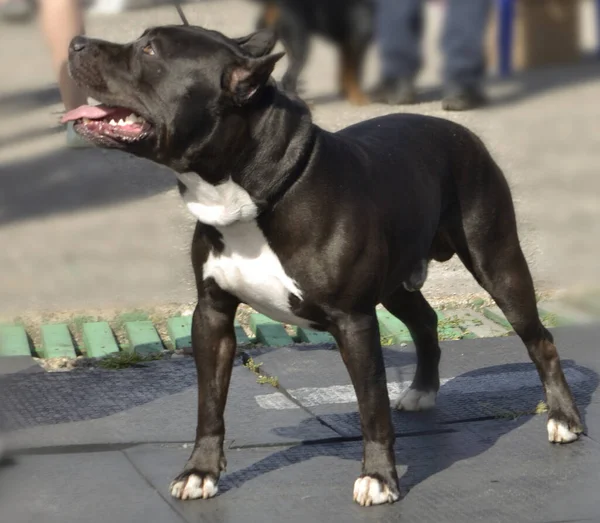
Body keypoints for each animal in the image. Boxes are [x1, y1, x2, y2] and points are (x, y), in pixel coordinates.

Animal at [61, 25, 580, 508]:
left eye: (150, 49)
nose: (76, 43)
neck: (253, 190)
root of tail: (461, 132)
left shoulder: (354, 322)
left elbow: (371, 406)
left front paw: (379, 478)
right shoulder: (211, 315)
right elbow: (209, 403)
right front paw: (200, 471)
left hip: (498, 262)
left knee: (539, 339)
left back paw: (563, 417)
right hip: (396, 282)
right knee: (425, 320)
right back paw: (422, 390)